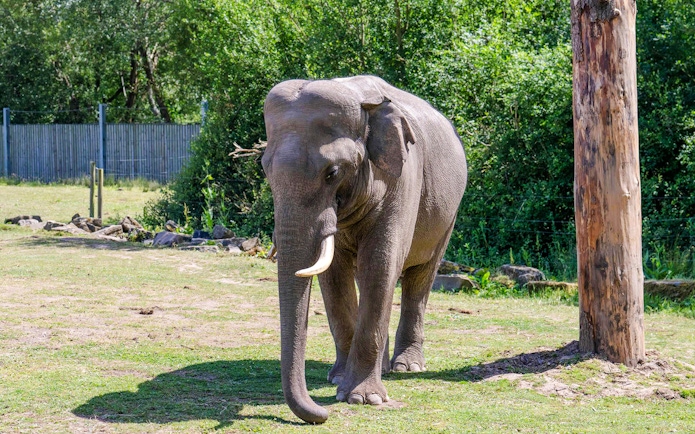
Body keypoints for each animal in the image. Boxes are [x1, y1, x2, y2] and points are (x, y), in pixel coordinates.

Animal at [261, 75, 467, 423]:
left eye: (332, 173)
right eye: (264, 168)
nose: (321, 413)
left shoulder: (403, 179)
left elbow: (381, 263)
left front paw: (362, 398)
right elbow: (334, 276)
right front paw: (337, 380)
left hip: (448, 216)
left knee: (420, 279)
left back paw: (407, 367)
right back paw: (382, 367)